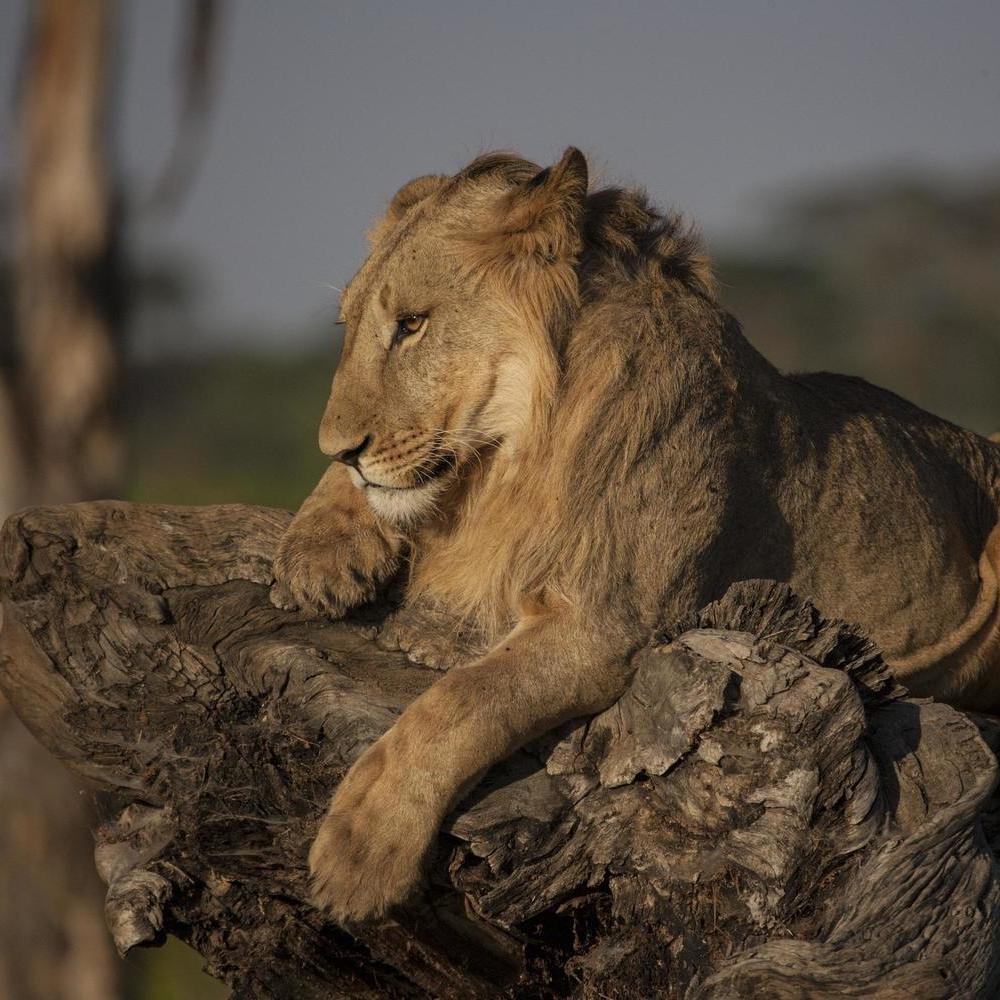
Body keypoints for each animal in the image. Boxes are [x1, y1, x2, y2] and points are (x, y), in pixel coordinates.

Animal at [270, 147, 1000, 924]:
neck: (515, 449)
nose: (338, 447)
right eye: (350, 327)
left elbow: (463, 703)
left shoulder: (605, 622)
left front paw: (360, 848)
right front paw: (319, 553)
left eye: (412, 324)